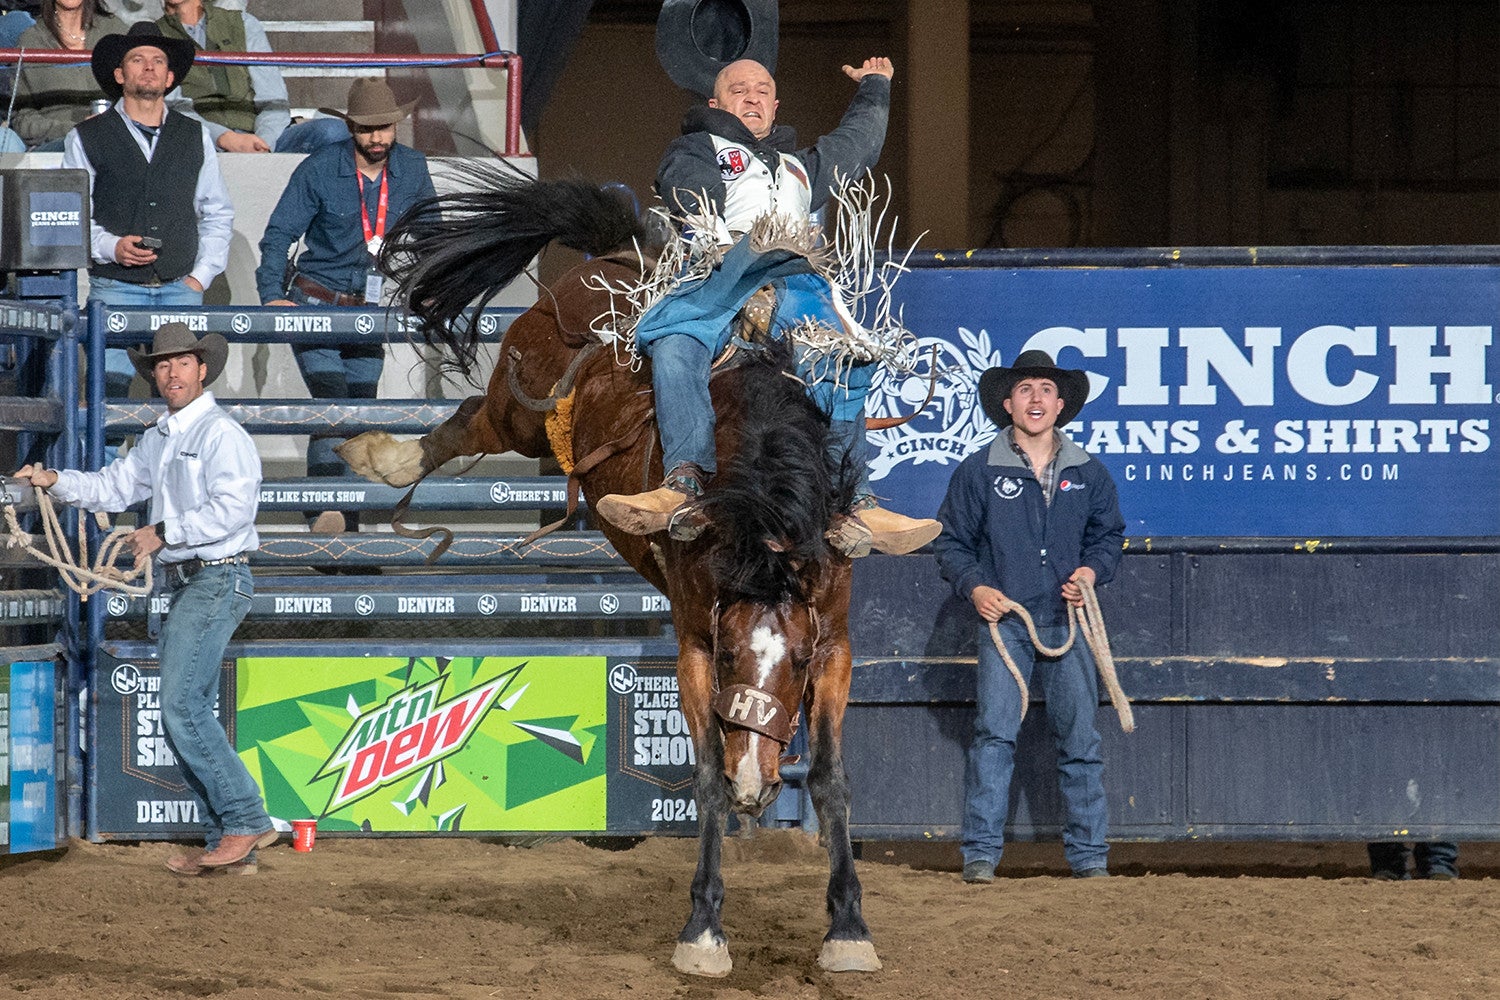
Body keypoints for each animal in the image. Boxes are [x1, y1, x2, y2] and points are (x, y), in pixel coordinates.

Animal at [337, 166, 888, 977]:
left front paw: (848, 927)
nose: (757, 781)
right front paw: (703, 930)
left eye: (793, 663)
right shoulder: (693, 641)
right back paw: (385, 456)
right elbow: (706, 777)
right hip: (524, 408)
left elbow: (830, 777)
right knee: (472, 418)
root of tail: (620, 261)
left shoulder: (836, 643)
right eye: (729, 654)